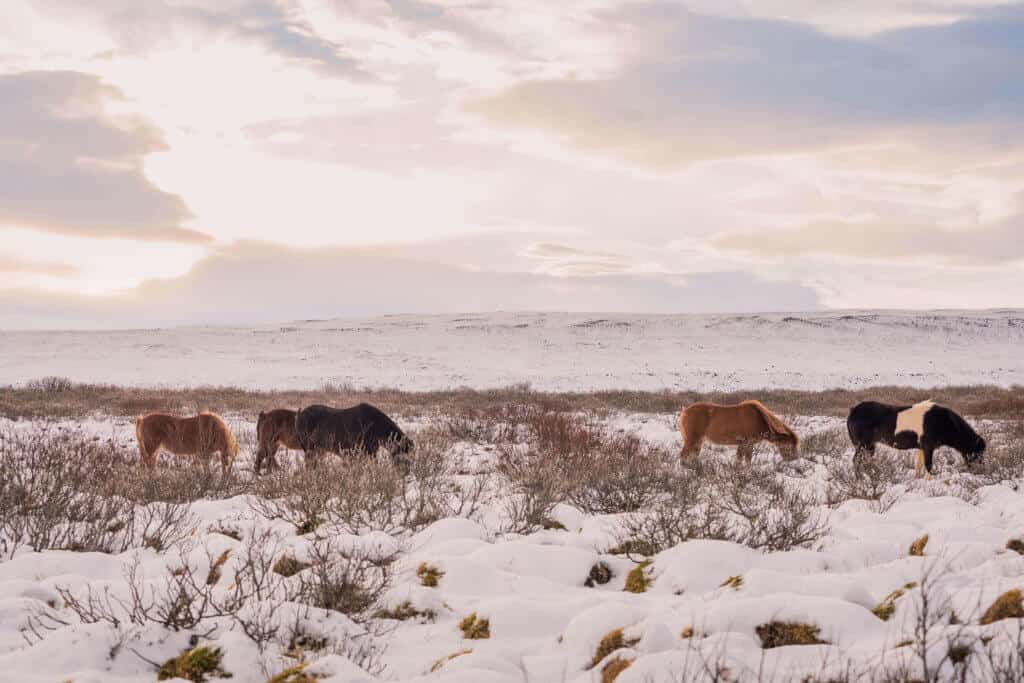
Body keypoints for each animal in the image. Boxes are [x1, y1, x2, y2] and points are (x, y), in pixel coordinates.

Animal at [847, 397, 983, 479]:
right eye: (978, 452)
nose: (980, 471)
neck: (942, 421)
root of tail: (854, 411)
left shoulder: (921, 448)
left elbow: (919, 465)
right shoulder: (928, 447)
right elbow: (928, 465)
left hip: (869, 446)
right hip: (863, 445)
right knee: (857, 461)